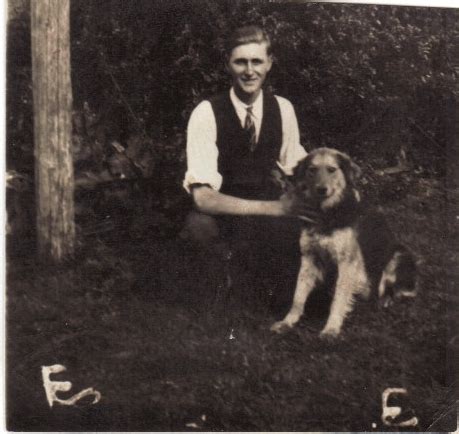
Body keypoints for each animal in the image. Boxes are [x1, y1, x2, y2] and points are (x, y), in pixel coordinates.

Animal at [272, 147, 418, 338]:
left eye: (332, 169)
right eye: (312, 170)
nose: (321, 189)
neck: (327, 214)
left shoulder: (347, 263)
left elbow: (339, 298)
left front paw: (331, 328)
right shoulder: (309, 257)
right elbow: (298, 294)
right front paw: (288, 322)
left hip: (398, 255)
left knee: (401, 290)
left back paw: (385, 300)